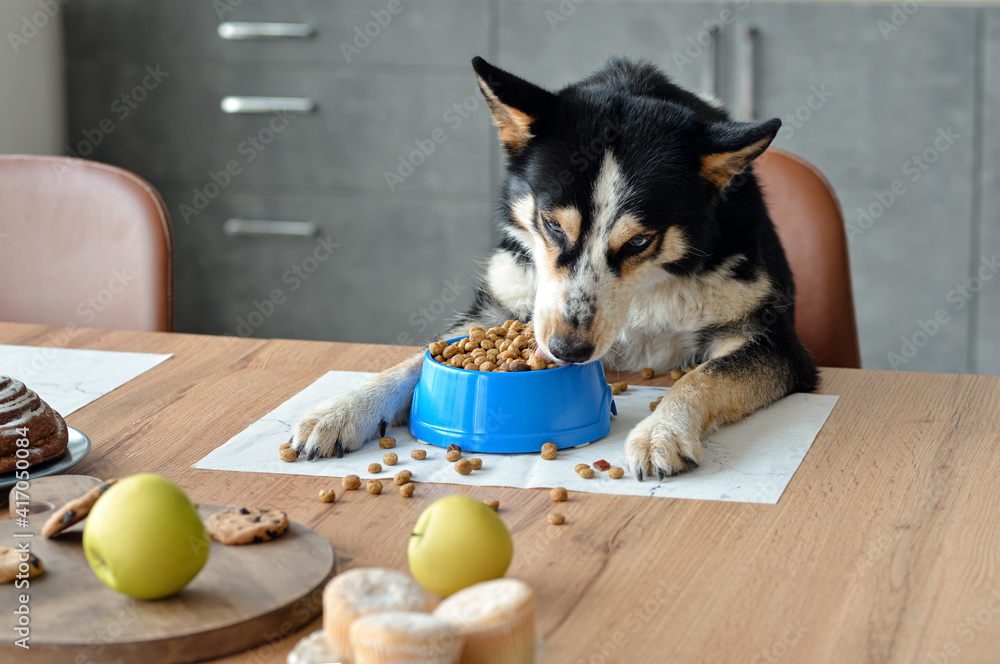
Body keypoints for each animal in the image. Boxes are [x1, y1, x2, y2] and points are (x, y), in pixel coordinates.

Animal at [286, 54, 816, 480]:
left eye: (640, 241)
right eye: (551, 224)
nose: (568, 350)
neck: (646, 286)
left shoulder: (774, 339)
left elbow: (703, 376)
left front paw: (661, 431)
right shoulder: (500, 309)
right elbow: (417, 358)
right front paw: (340, 409)